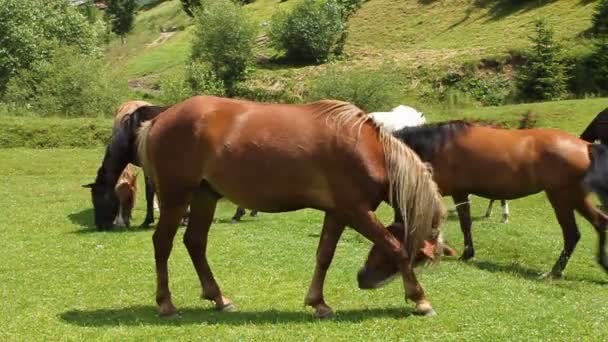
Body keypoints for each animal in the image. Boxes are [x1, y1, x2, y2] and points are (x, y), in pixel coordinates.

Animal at [135, 95, 444, 318]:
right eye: (419, 258)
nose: (364, 280)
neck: (368, 150)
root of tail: (159, 119)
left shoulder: (338, 213)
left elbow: (324, 256)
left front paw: (318, 303)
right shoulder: (357, 212)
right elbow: (395, 246)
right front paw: (421, 300)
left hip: (204, 196)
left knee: (195, 242)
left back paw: (219, 299)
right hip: (176, 196)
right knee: (162, 243)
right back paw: (166, 305)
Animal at [358, 121, 608, 288]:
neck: (436, 146)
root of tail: (586, 147)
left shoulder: (457, 193)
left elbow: (464, 224)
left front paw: (466, 253)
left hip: (562, 197)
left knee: (572, 233)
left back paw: (554, 272)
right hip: (574, 198)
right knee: (600, 223)